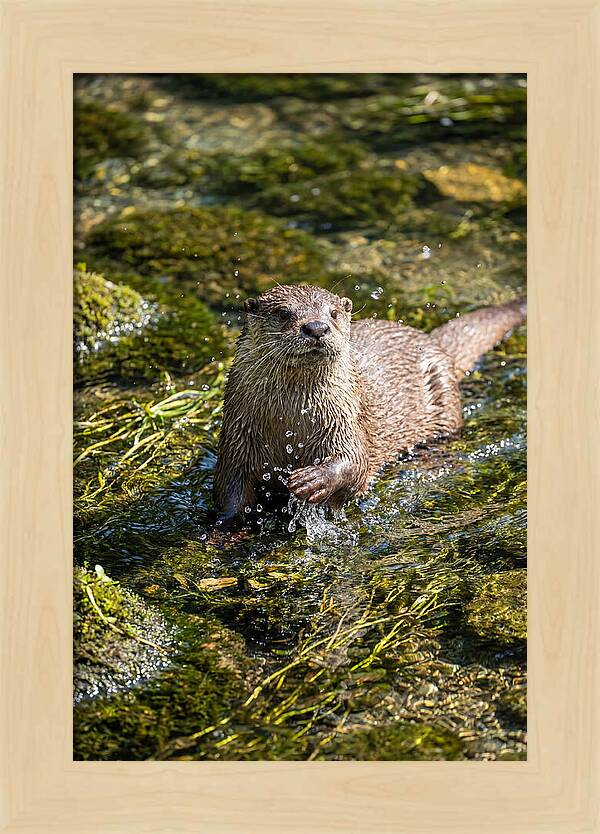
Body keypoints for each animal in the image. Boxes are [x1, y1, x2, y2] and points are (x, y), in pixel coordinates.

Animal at [214, 284, 526, 527]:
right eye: (283, 313)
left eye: (333, 313)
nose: (316, 327)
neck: (292, 425)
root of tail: (432, 342)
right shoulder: (237, 441)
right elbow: (230, 493)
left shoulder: (346, 421)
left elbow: (355, 462)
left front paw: (312, 480)